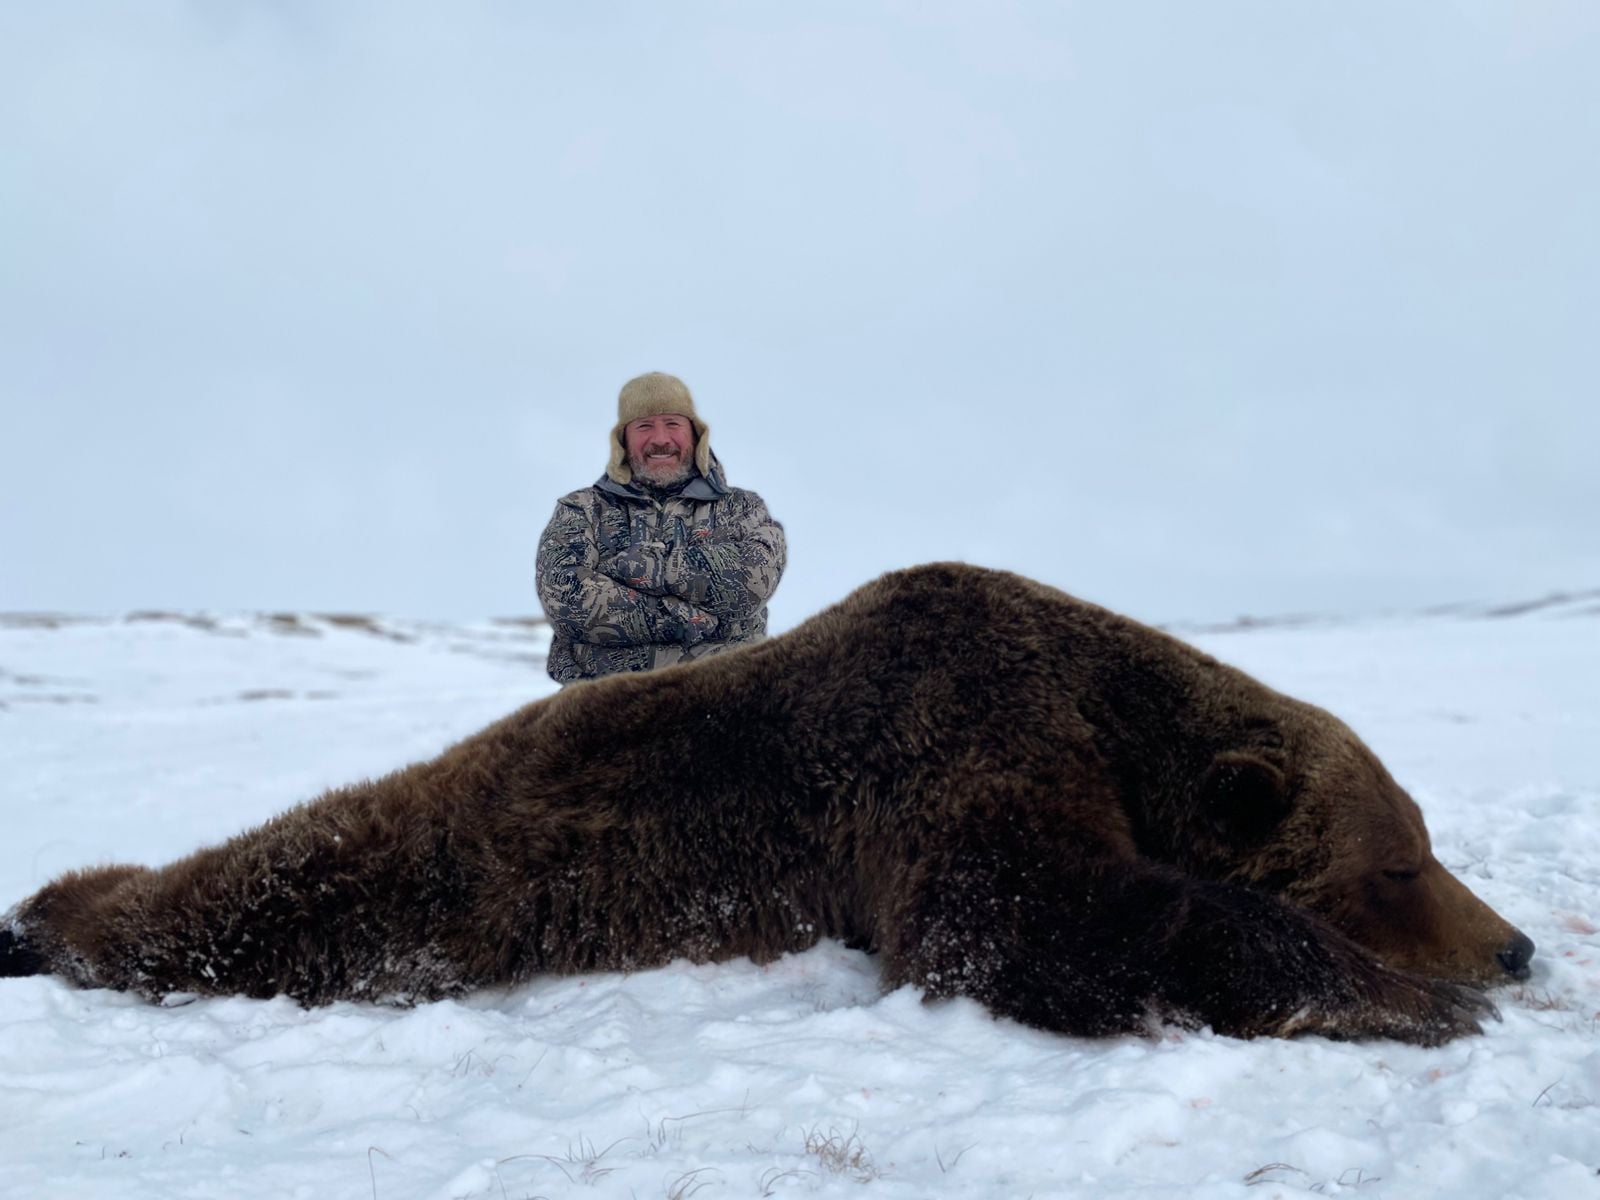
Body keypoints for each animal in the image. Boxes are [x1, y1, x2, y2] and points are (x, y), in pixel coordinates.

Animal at [0, 563, 1533, 1045]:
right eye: (1401, 865)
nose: (1516, 948)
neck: (1109, 709)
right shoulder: (959, 729)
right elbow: (1009, 913)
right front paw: (1401, 998)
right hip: (417, 874)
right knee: (262, 892)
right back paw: (42, 917)